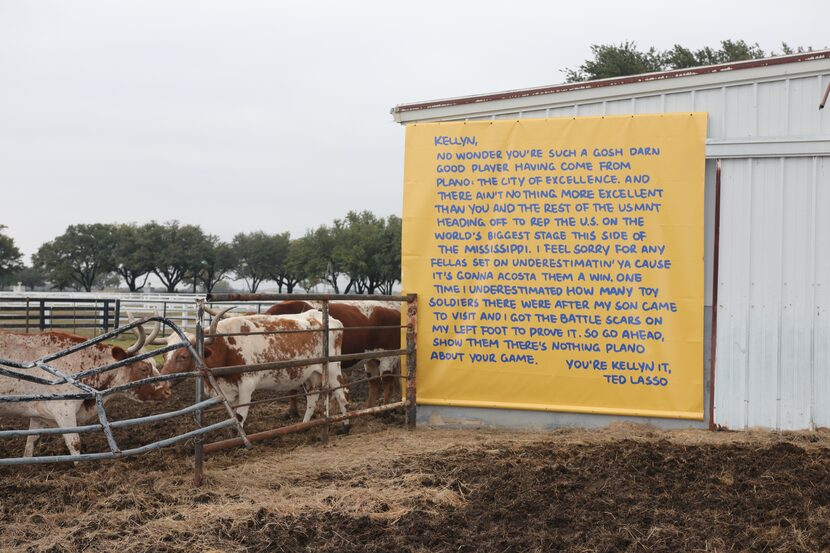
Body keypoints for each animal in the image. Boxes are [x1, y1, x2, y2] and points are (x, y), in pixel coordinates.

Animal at [0, 328, 171, 458]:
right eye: (144, 368)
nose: (167, 390)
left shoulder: (38, 413)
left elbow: (32, 440)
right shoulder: (64, 410)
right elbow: (74, 443)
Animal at [160, 308, 352, 430]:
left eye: (183, 356)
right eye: (165, 355)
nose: (161, 384)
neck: (226, 347)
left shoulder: (247, 385)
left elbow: (240, 416)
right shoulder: (230, 391)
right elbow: (234, 417)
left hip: (333, 369)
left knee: (341, 394)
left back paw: (346, 425)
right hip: (311, 375)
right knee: (312, 400)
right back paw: (303, 426)